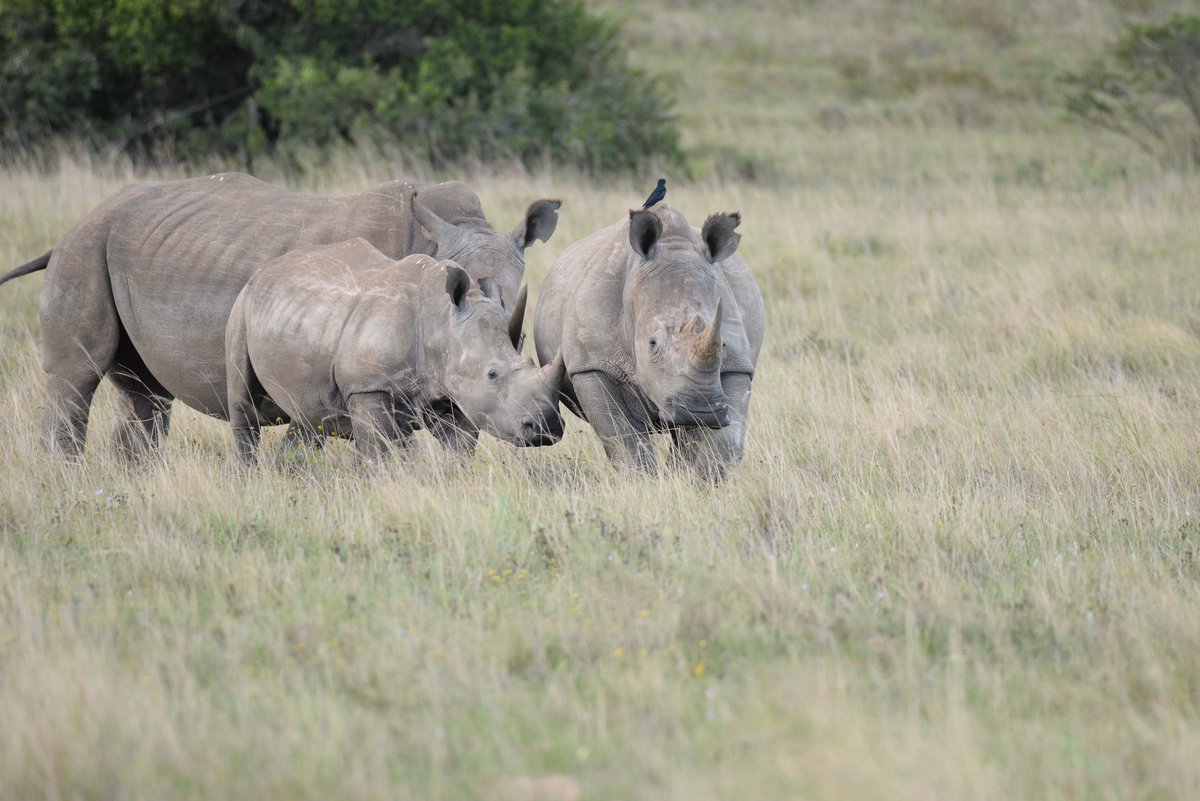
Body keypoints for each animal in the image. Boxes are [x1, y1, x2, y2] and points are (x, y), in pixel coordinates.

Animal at [226, 241, 565, 462]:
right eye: (492, 374)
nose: (546, 429)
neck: (441, 325)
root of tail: (265, 268)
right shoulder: (367, 387)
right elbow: (380, 451)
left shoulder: (450, 393)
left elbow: (460, 448)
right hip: (241, 306)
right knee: (243, 401)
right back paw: (249, 474)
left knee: (309, 415)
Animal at [533, 202, 764, 479]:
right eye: (652, 343)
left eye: (723, 345)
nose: (699, 411)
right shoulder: (592, 364)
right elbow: (624, 437)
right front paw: (642, 481)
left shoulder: (737, 366)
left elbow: (724, 439)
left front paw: (700, 482)